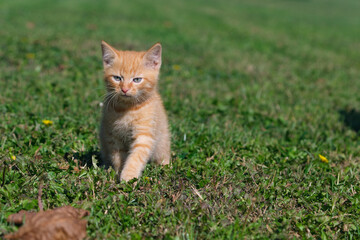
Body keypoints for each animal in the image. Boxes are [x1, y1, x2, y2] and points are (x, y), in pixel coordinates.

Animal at [99, 40, 171, 181]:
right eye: (117, 78)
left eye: (137, 79)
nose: (125, 89)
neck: (127, 109)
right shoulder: (112, 136)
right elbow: (118, 157)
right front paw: (119, 172)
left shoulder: (144, 135)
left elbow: (136, 156)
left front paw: (128, 176)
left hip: (162, 142)